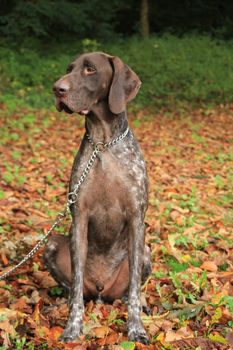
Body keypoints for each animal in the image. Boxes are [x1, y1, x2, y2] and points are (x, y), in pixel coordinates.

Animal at [43, 52, 151, 344]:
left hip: (146, 253)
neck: (103, 144)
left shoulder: (136, 218)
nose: (57, 89)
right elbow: (76, 287)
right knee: (75, 290)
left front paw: (136, 327)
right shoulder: (79, 217)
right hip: (52, 245)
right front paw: (73, 327)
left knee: (129, 291)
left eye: (90, 69)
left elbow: (134, 290)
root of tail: (102, 291)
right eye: (69, 69)